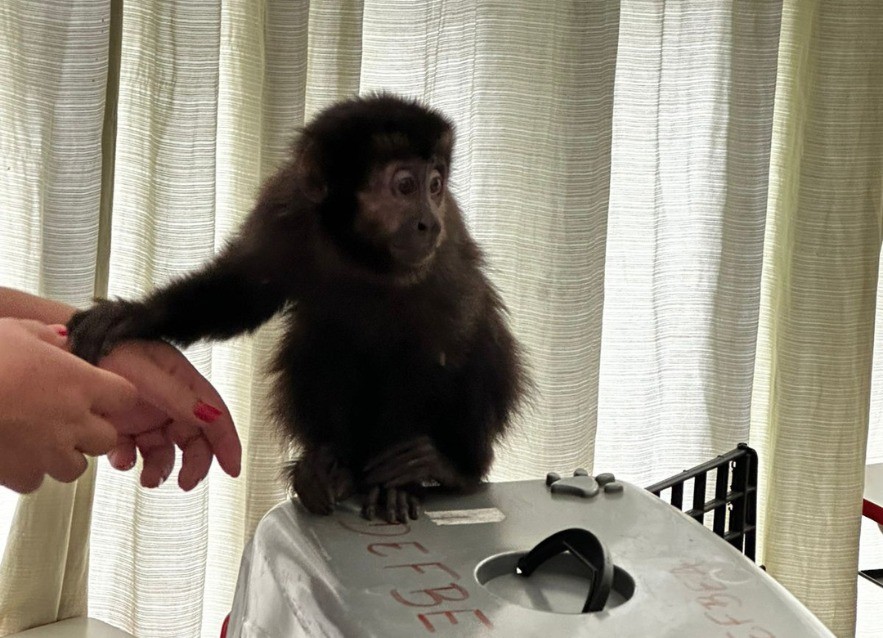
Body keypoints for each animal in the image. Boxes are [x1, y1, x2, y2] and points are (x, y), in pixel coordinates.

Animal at [69, 95, 528, 524]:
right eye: (404, 186)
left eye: (434, 186)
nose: (428, 222)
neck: (361, 256)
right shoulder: (287, 207)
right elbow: (243, 291)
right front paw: (135, 316)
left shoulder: (440, 260)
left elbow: (441, 347)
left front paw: (401, 484)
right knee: (318, 337)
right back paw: (331, 465)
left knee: (483, 341)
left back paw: (451, 469)